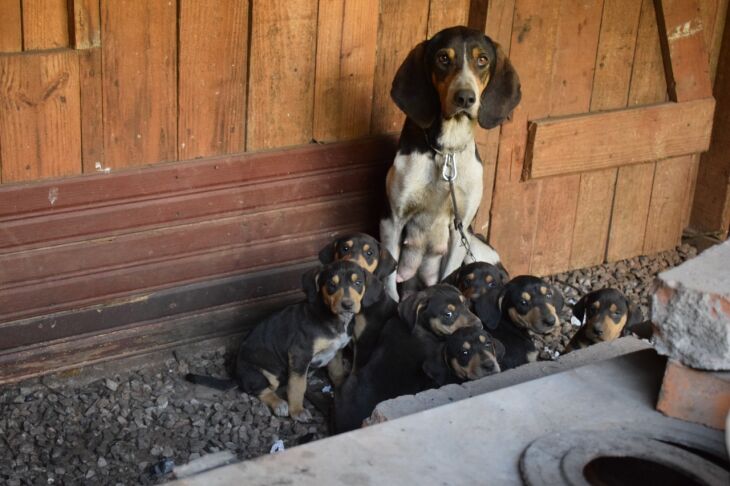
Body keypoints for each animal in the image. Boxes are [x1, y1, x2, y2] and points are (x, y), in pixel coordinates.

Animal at [185, 262, 382, 422]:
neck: (333, 318)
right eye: (332, 285)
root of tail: (236, 375)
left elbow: (337, 372)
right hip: (261, 373)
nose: (347, 305)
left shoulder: (335, 351)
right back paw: (279, 403)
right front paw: (297, 411)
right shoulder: (300, 354)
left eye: (358, 283)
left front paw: (342, 388)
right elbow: (297, 386)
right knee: (259, 389)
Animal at [378, 26, 520, 302]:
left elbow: (448, 276)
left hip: (474, 244)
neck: (445, 153)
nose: (465, 97)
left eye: (482, 59)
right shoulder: (393, 220)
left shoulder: (460, 227)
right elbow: (389, 285)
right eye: (443, 58)